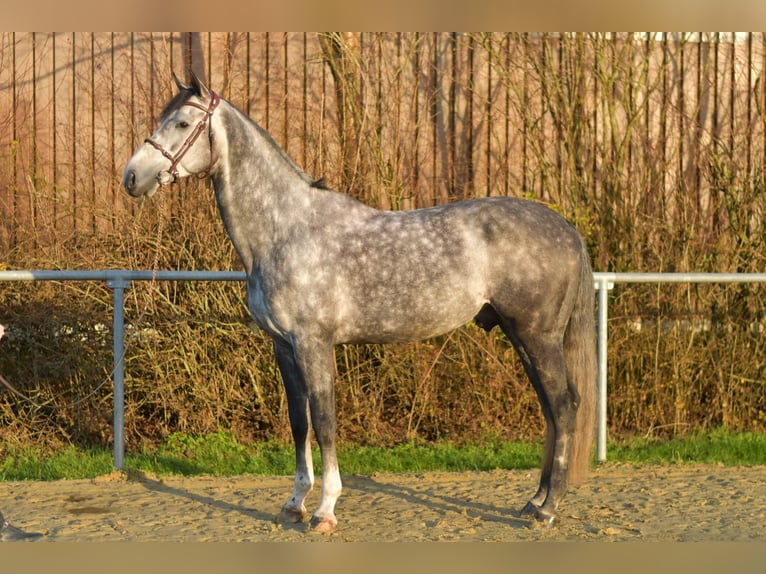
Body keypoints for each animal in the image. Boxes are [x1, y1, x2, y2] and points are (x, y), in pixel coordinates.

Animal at [123, 71, 597, 532]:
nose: (131, 176)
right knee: (550, 409)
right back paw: (533, 501)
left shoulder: (314, 345)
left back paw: (548, 509)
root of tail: (567, 229)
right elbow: (299, 422)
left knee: (563, 405)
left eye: (183, 122)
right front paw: (294, 504)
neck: (285, 229)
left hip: (537, 336)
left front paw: (325, 510)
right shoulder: (283, 347)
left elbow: (325, 422)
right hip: (523, 337)